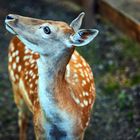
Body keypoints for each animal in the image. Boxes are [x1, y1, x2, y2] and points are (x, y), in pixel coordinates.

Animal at [4, 12, 98, 140]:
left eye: (47, 29)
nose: (10, 17)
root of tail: (14, 39)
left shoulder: (80, 132)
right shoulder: (40, 130)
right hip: (15, 87)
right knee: (22, 117)